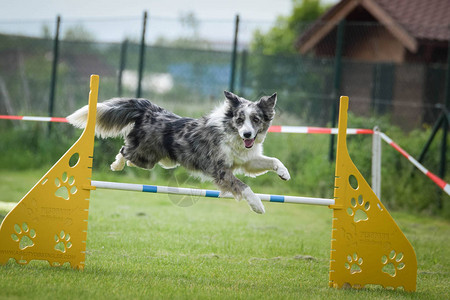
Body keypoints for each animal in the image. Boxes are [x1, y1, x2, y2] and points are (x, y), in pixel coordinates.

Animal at [68, 91, 290, 213]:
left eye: (256, 120)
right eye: (239, 119)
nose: (247, 134)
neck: (232, 134)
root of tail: (150, 109)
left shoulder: (247, 161)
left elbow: (272, 160)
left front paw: (284, 173)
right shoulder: (220, 170)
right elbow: (243, 186)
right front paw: (258, 206)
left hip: (151, 159)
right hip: (145, 153)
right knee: (125, 150)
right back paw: (117, 164)